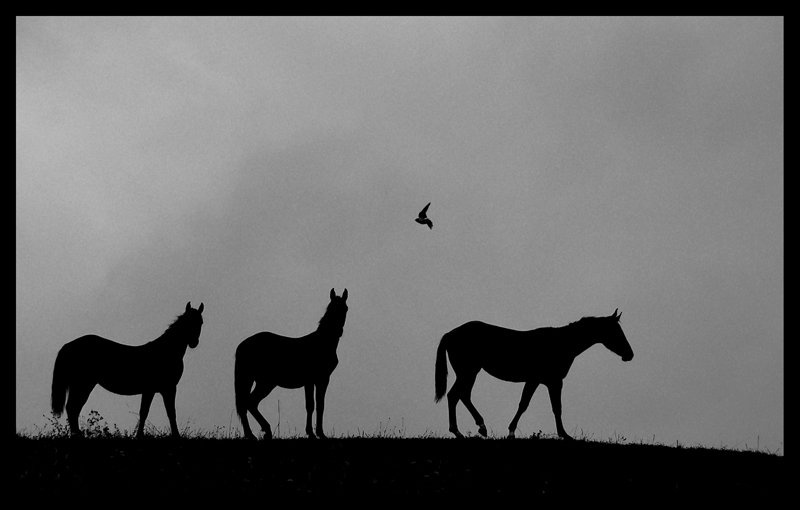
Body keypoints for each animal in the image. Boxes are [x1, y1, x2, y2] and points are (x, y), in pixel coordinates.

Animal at [51, 302, 204, 438]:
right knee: (73, 408)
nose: (194, 343)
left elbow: (146, 412)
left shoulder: (152, 390)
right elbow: (168, 413)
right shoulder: (167, 388)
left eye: (201, 322)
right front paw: (175, 436)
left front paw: (139, 435)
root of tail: (68, 345)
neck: (166, 351)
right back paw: (77, 435)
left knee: (73, 408)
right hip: (82, 384)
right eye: (187, 322)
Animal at [235, 288, 349, 440]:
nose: (339, 331)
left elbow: (313, 405)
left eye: (345, 308)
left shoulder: (313, 381)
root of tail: (242, 345)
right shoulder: (320, 379)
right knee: (249, 402)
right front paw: (317, 433)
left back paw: (255, 433)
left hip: (255, 380)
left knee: (247, 404)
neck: (322, 343)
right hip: (264, 382)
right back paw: (261, 432)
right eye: (330, 308)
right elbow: (316, 405)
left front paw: (313, 433)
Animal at [434, 309, 633, 439]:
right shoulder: (551, 381)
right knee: (455, 395)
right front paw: (564, 435)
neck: (561, 344)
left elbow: (530, 405)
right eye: (616, 332)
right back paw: (461, 431)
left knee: (462, 396)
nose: (629, 354)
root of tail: (450, 334)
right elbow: (550, 407)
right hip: (468, 372)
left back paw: (477, 428)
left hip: (470, 372)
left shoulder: (539, 381)